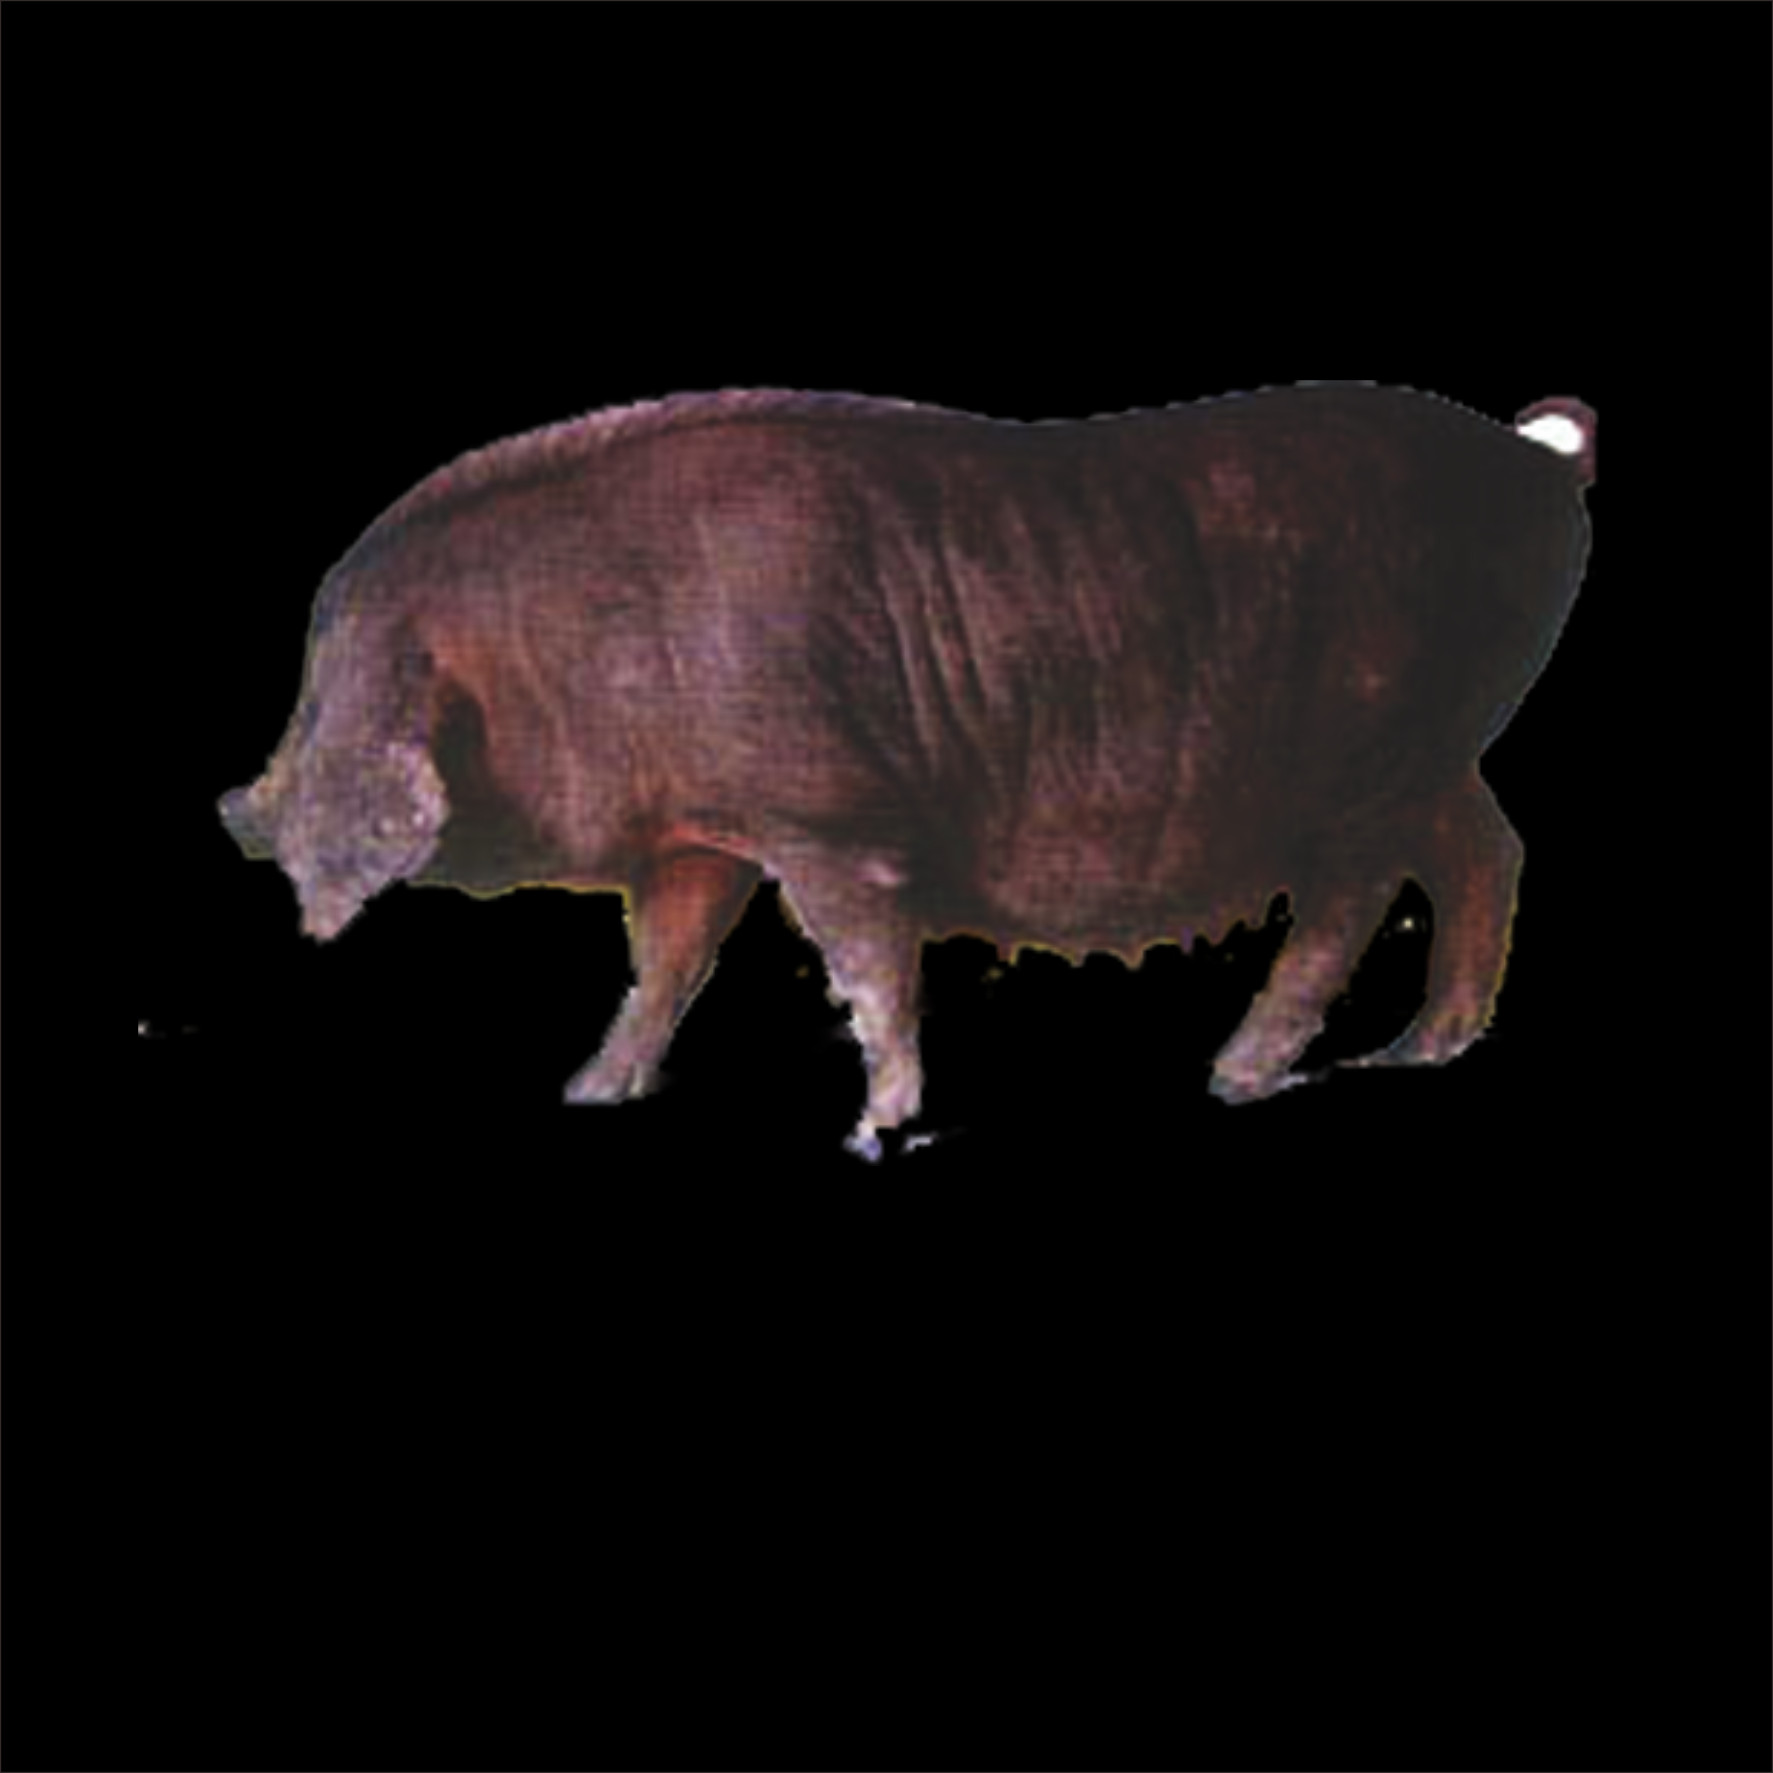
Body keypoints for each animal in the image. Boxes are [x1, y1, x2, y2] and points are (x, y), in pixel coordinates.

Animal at [219, 383, 1595, 1155]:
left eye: (328, 687)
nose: (232, 806)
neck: (550, 651)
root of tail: (1539, 463)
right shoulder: (701, 830)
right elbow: (665, 958)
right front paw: (590, 1095)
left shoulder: (824, 813)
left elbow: (869, 962)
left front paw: (874, 1130)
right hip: (1443, 750)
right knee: (1491, 848)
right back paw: (1419, 1056)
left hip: (1375, 751)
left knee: (1356, 891)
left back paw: (1238, 1077)